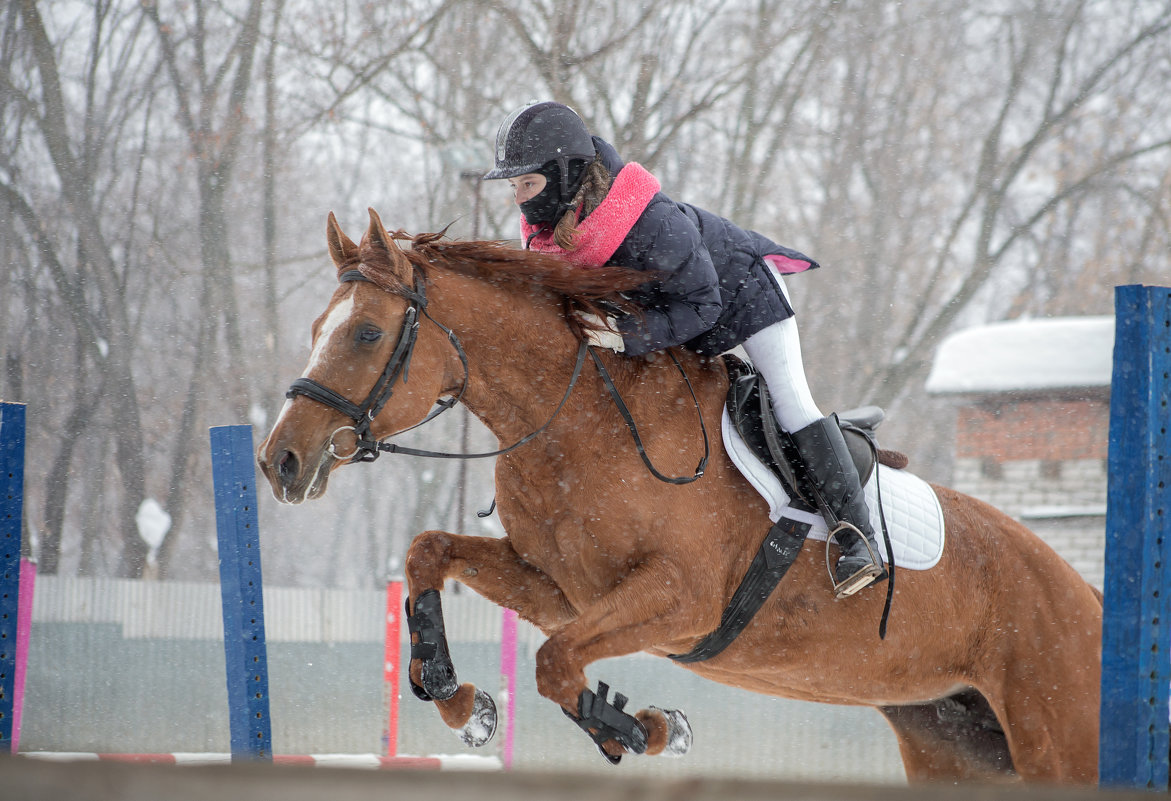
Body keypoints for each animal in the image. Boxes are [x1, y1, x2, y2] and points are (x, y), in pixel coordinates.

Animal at [258, 209, 1105, 786]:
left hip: (1059, 742)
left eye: (366, 333)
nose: (280, 460)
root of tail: (1086, 595)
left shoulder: (679, 598)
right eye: (316, 325)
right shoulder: (561, 589)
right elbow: (431, 553)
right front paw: (462, 700)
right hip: (947, 739)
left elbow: (555, 663)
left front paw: (651, 728)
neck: (574, 420)